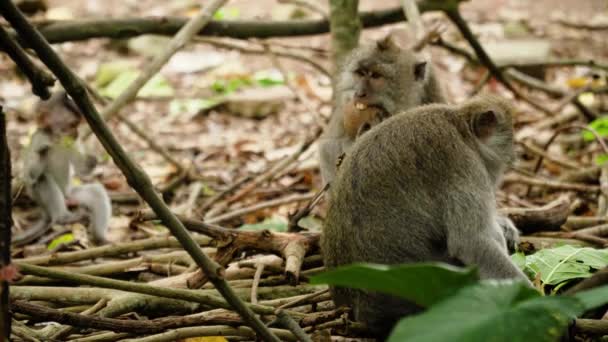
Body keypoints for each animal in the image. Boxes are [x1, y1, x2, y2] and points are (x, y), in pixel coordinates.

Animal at [21, 92, 112, 244]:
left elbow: (82, 169)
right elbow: (30, 176)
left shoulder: (73, 144)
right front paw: (42, 152)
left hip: (72, 194)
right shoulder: (38, 139)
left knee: (96, 192)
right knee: (43, 178)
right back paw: (63, 218)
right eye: (71, 125)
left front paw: (93, 158)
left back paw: (101, 237)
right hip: (39, 199)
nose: (76, 133)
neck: (57, 141)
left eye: (76, 124)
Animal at [320, 95, 536, 340]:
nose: (515, 155)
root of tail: (350, 308)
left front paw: (506, 225)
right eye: (509, 138)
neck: (461, 129)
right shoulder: (462, 163)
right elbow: (471, 242)